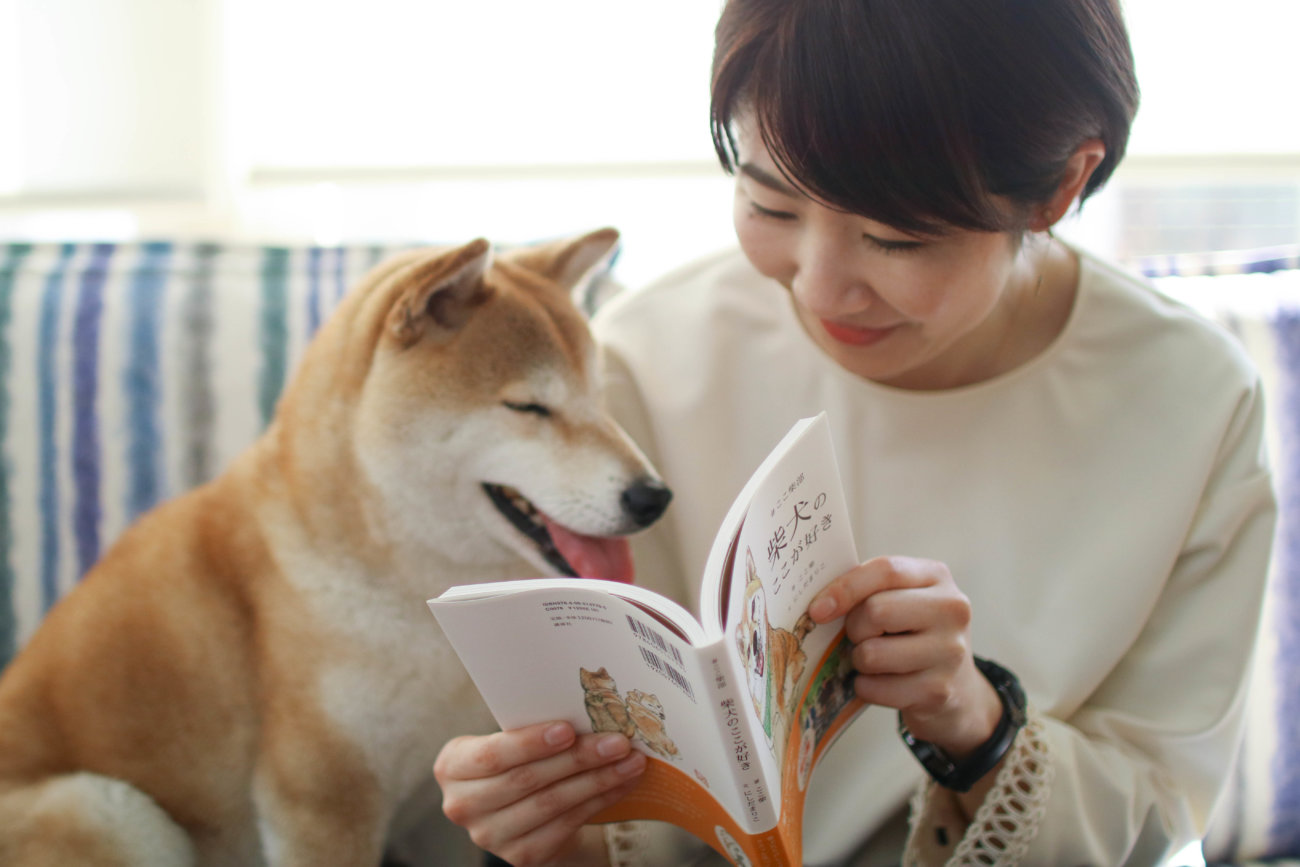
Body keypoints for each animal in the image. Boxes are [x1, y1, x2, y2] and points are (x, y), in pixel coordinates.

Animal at [0, 230, 670, 867]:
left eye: (599, 399)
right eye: (528, 406)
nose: (653, 497)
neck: (413, 595)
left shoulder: (436, 810)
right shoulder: (323, 801)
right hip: (107, 809)